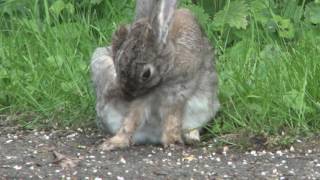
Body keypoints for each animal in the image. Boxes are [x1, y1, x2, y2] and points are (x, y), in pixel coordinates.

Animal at [90, 0, 220, 150]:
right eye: (117, 65)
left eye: (146, 74)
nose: (127, 95)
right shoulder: (143, 99)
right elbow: (132, 120)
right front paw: (114, 142)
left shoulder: (177, 93)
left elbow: (172, 119)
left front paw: (173, 141)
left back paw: (191, 138)